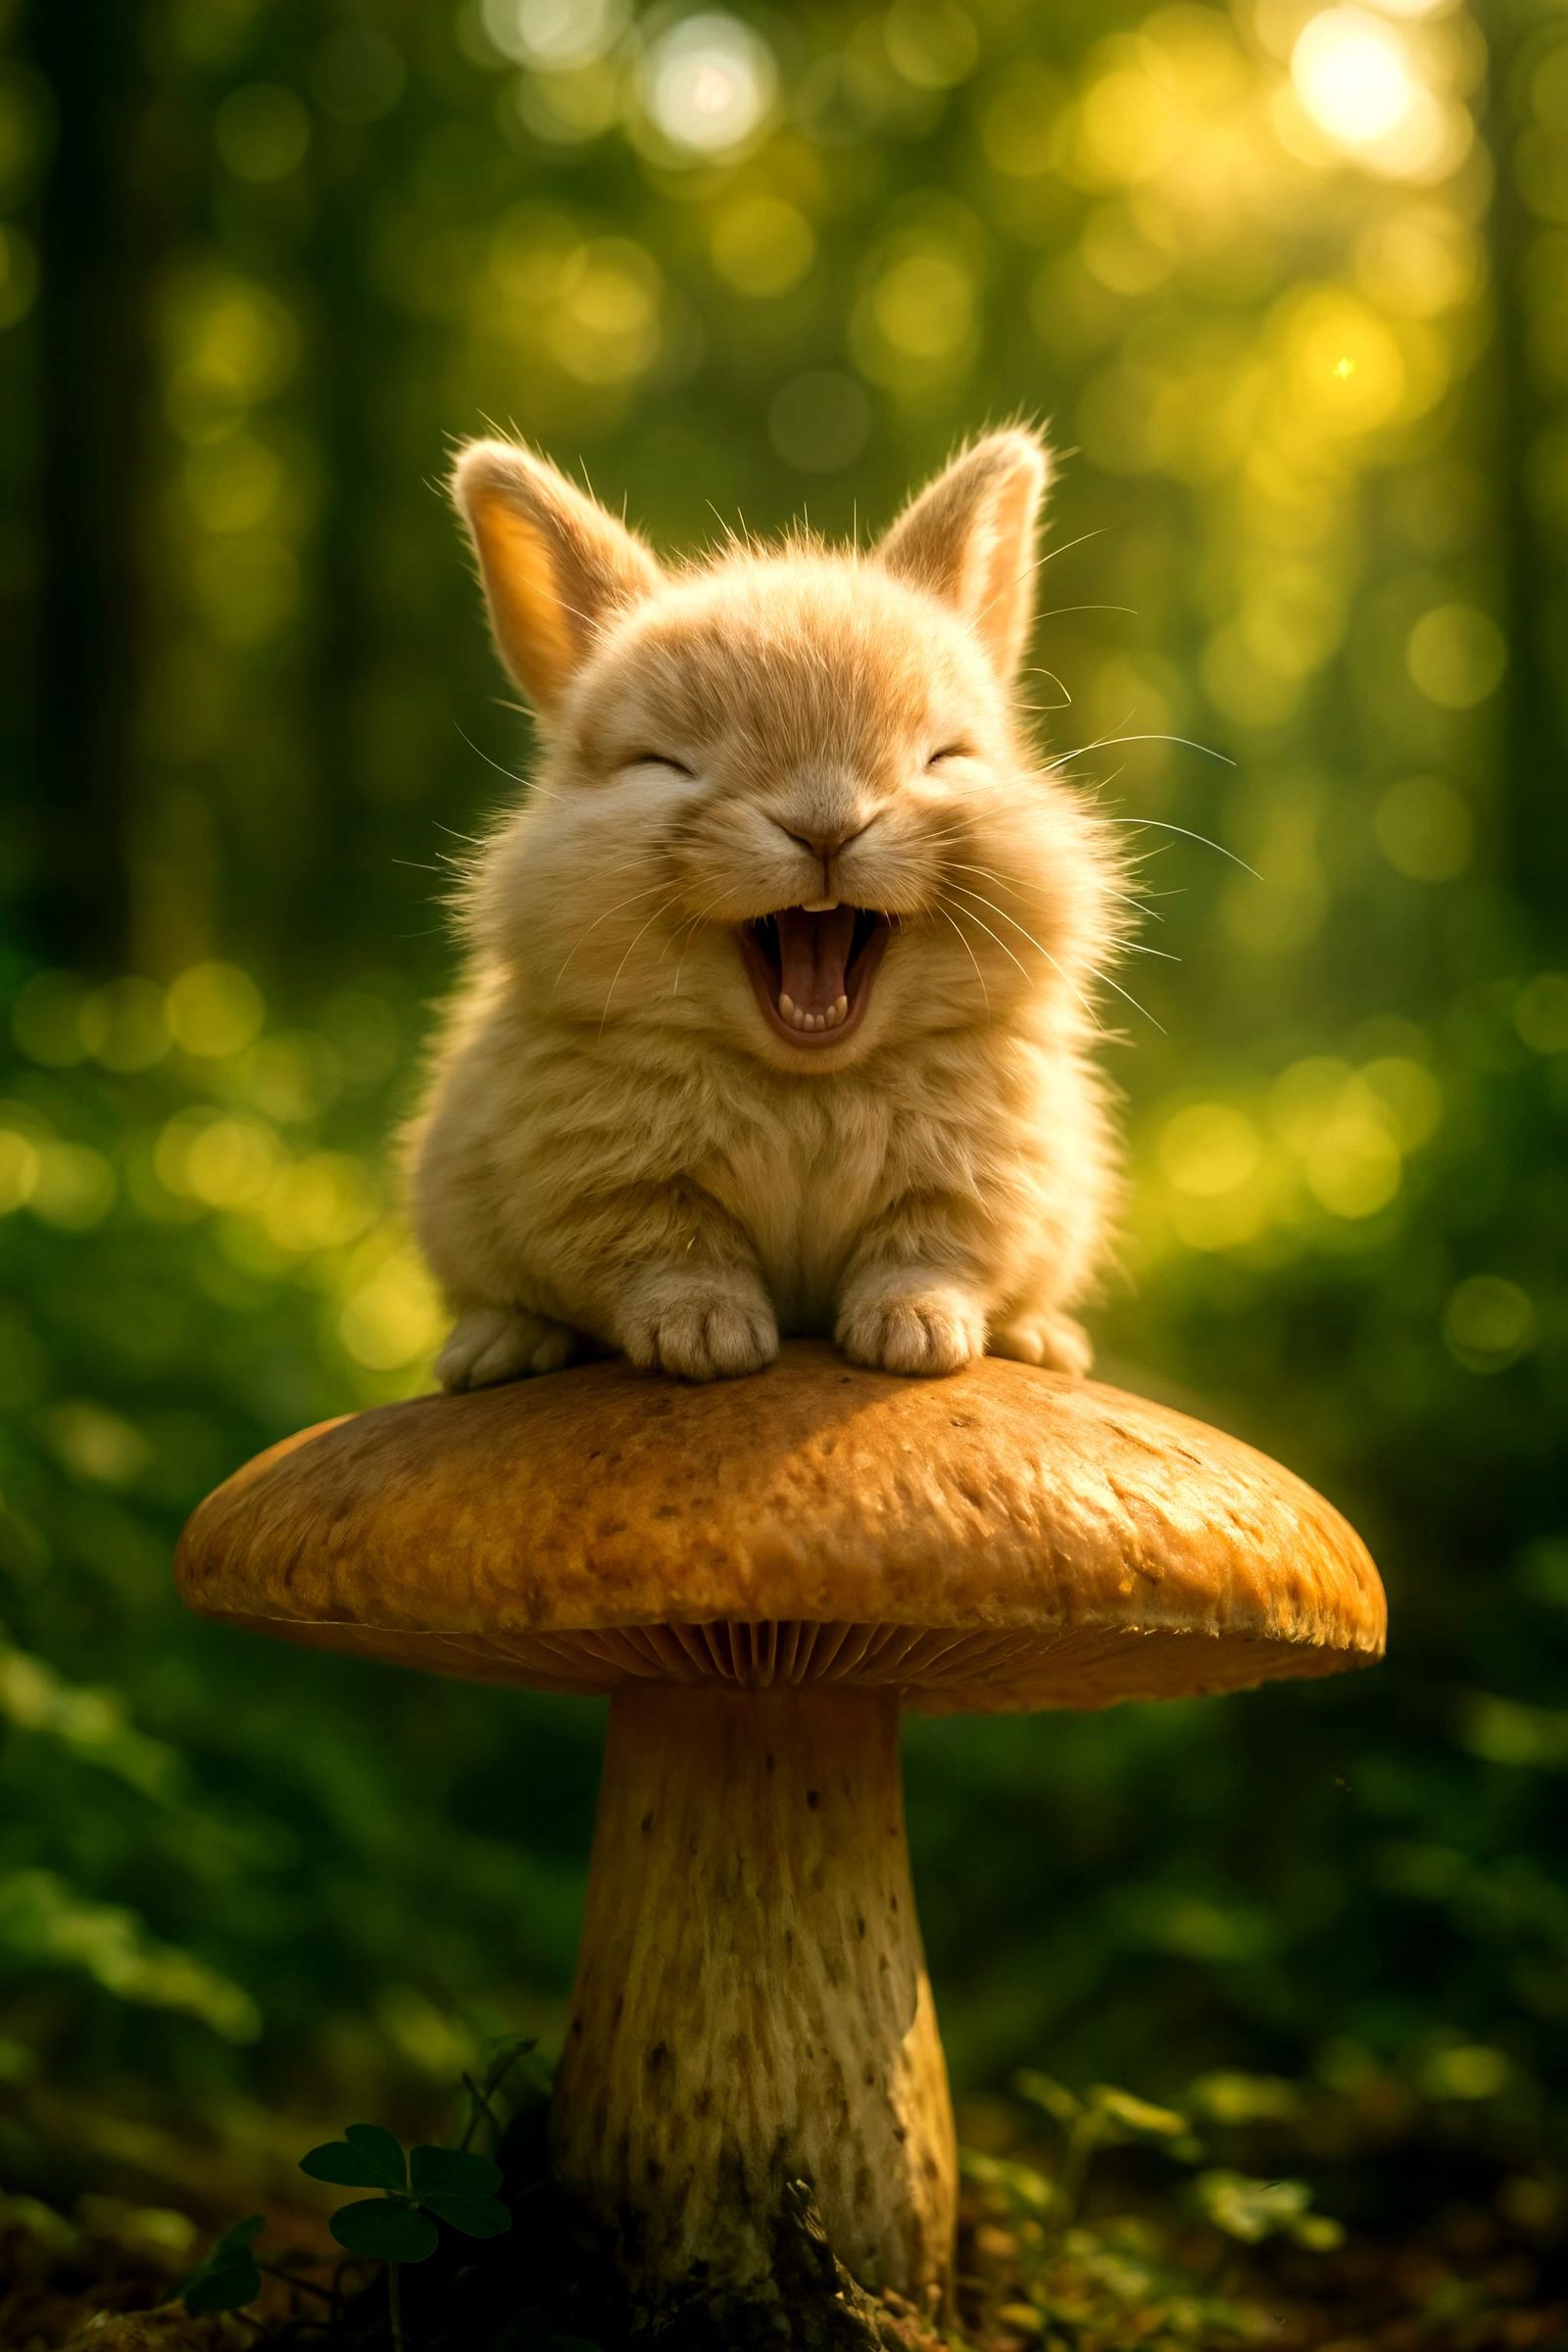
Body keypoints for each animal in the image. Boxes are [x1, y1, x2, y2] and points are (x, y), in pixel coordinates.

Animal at [409, 427, 1126, 1389]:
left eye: (944, 756)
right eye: (665, 764)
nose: (825, 825)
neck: (807, 1083)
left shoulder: (985, 1184)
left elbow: (931, 1253)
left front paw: (915, 1337)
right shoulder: (609, 1185)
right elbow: (671, 1252)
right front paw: (707, 1340)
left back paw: (1045, 1342)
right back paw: (497, 1351)